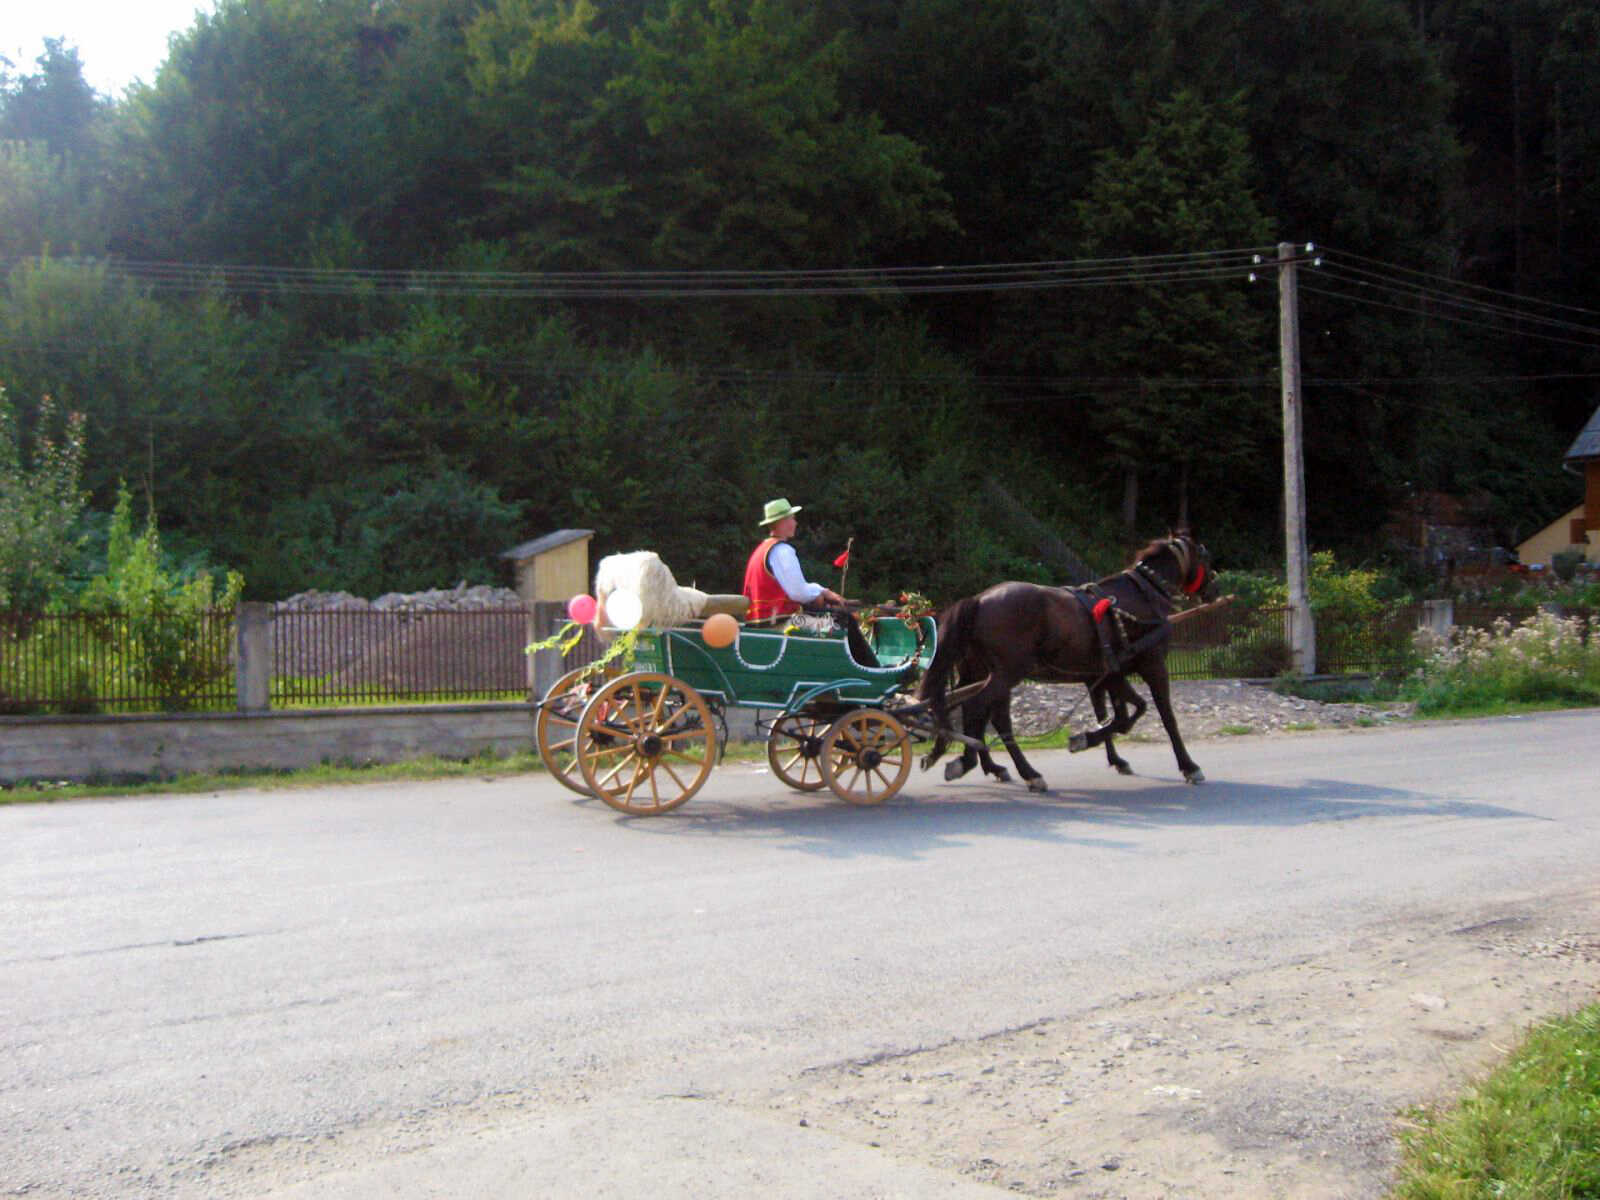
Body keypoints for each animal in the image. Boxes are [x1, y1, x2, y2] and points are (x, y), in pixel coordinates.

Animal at [917, 533, 1216, 790]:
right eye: (1205, 555)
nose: (1214, 588)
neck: (1143, 596)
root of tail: (979, 599)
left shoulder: (1106, 675)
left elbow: (1114, 715)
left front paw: (1104, 750)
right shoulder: (1152, 666)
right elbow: (1161, 716)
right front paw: (1189, 766)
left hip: (981, 672)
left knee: (975, 712)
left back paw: (992, 765)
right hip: (1006, 673)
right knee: (980, 708)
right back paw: (991, 765)